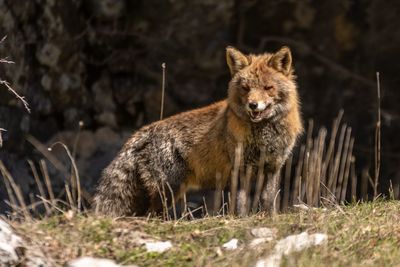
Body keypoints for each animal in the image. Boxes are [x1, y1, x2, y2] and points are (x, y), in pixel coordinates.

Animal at [94, 46, 302, 218]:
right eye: (246, 88)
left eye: (268, 88)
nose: (253, 105)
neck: (264, 136)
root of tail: (141, 133)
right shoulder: (241, 167)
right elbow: (242, 203)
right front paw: (242, 220)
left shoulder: (273, 167)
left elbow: (269, 200)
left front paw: (270, 218)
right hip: (169, 189)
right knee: (151, 214)